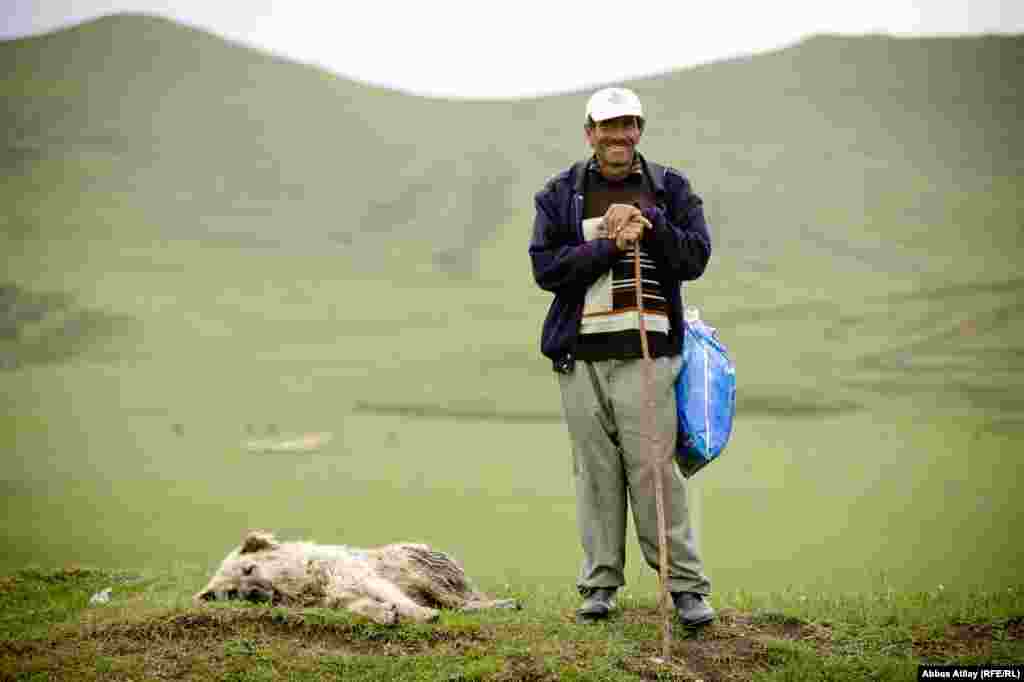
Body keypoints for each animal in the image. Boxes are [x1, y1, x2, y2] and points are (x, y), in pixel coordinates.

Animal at [193, 532, 520, 622]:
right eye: (232, 593)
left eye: (249, 569)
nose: (254, 594)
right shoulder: (340, 599)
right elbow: (359, 606)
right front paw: (384, 615)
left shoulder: (364, 577)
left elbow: (396, 598)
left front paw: (421, 615)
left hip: (425, 573)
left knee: (462, 603)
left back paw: (503, 605)